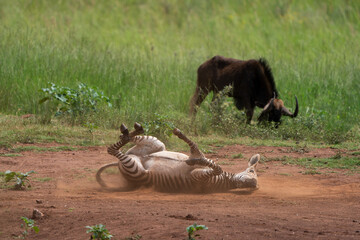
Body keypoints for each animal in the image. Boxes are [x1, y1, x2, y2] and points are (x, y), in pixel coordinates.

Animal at [95, 123, 258, 192]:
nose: (253, 183)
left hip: (138, 171)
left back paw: (129, 131)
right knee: (125, 141)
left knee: (111, 149)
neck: (225, 180)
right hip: (157, 144)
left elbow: (216, 167)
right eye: (252, 172)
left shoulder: (198, 177)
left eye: (254, 183)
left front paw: (194, 159)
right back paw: (130, 131)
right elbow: (198, 150)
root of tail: (118, 165)